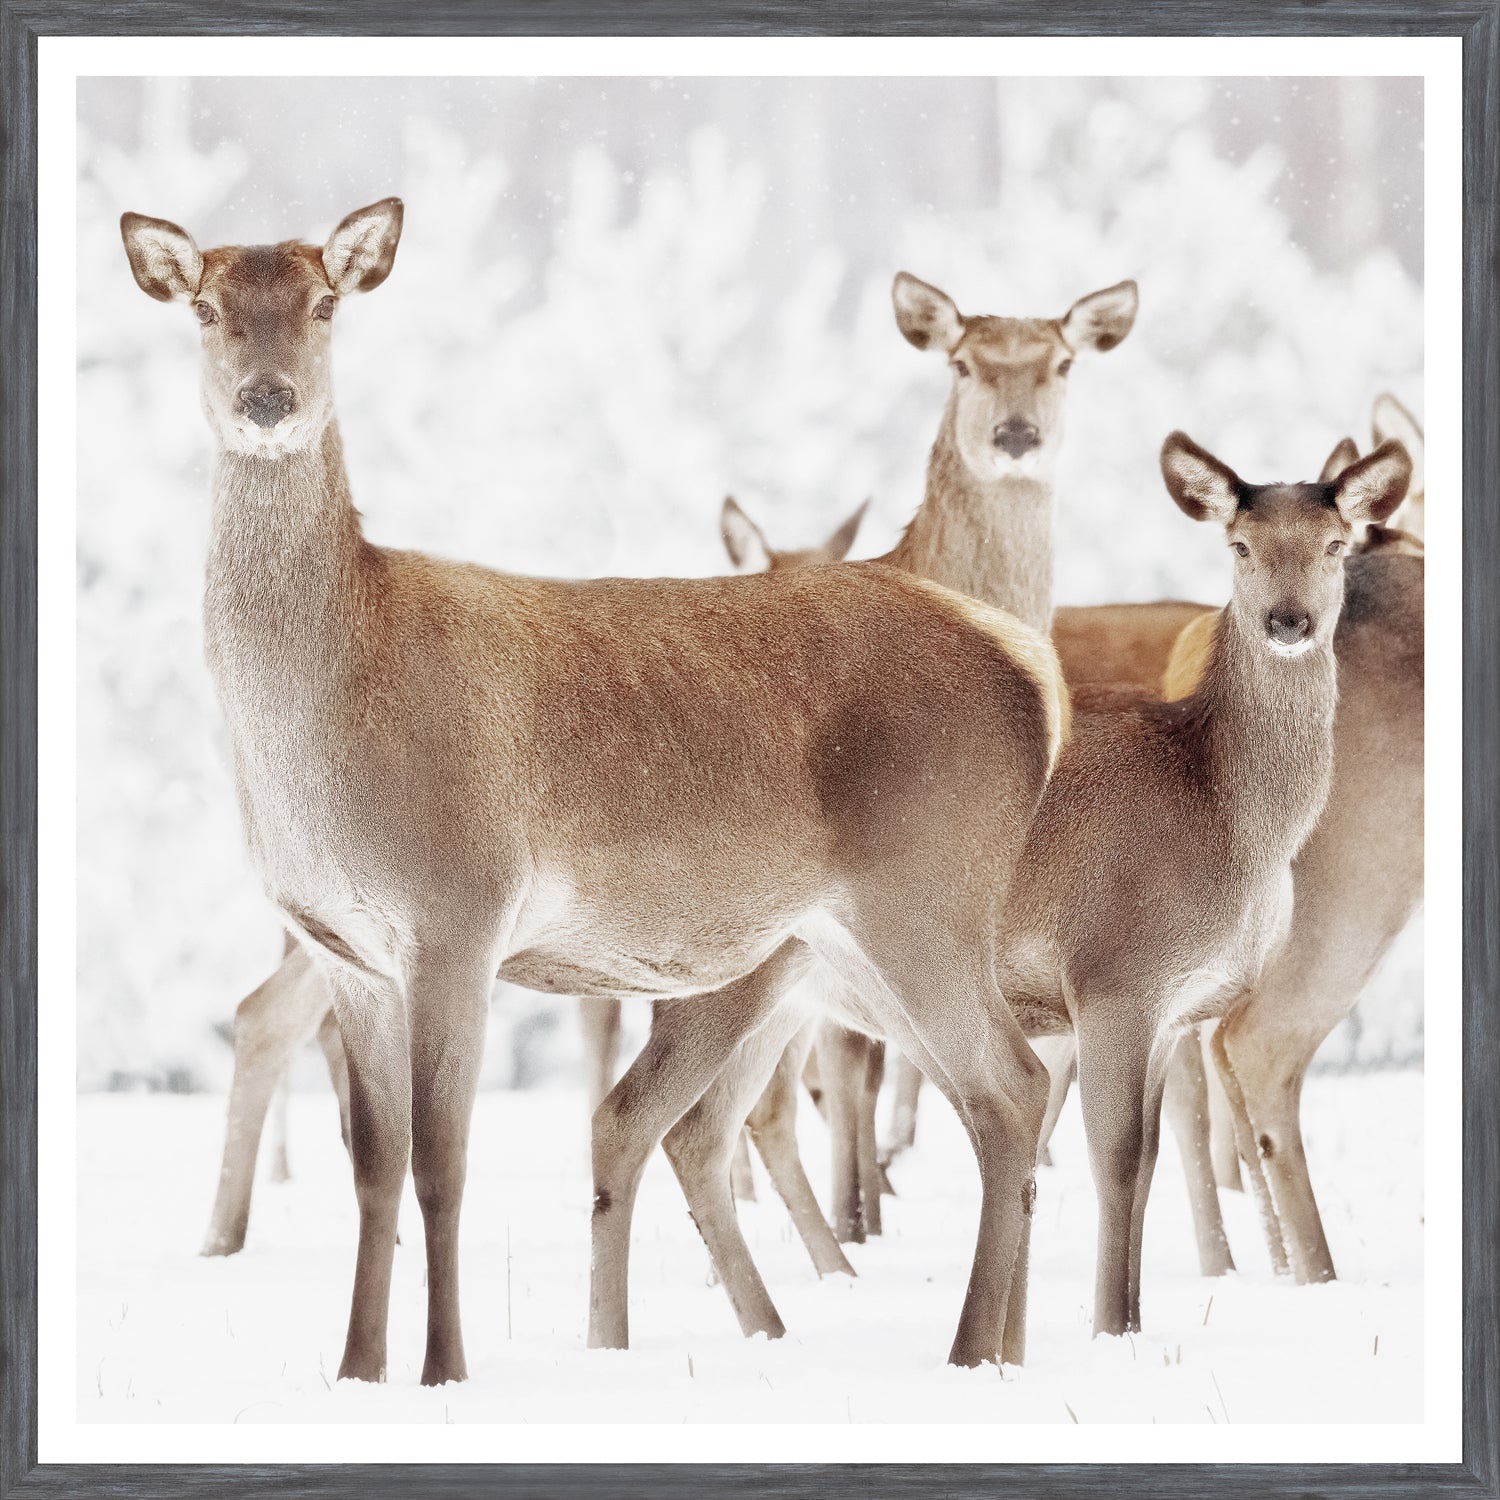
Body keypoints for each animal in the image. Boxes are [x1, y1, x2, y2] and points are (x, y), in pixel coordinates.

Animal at [122, 200, 1072, 1380]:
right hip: (838, 941)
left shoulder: (457, 913)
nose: (268, 399)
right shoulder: (348, 948)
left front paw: (446, 1370)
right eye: (206, 306)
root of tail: (1030, 670)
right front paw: (354, 1371)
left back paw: (968, 1354)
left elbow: (443, 1164)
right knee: (984, 1096)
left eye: (326, 301)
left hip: (925, 896)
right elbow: (372, 1172)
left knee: (1011, 1088)